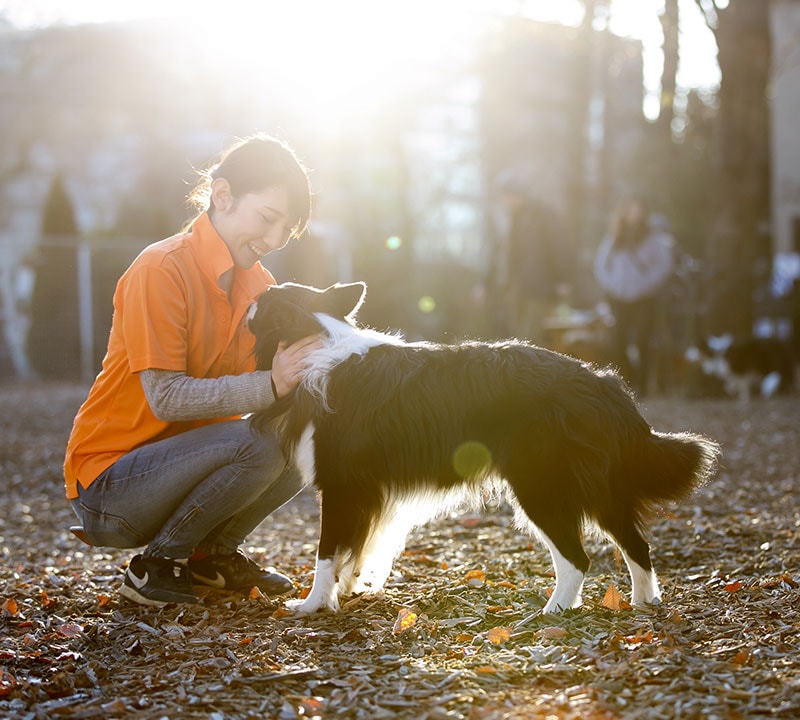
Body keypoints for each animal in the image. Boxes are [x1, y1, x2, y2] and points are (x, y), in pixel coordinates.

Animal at [247, 282, 720, 612]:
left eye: (267, 299)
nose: (250, 298)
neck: (314, 334)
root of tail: (602, 382)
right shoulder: (365, 492)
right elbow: (355, 548)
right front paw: (349, 589)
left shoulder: (341, 486)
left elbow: (327, 551)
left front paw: (313, 604)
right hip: (599, 489)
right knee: (636, 543)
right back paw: (644, 602)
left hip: (541, 486)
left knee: (578, 557)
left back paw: (555, 611)